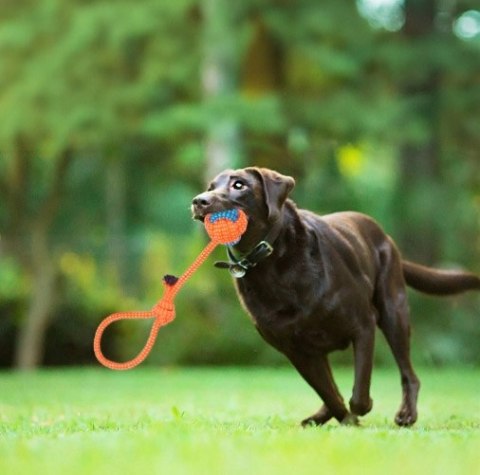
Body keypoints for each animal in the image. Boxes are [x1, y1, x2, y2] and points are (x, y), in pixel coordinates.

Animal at [191, 167, 480, 428]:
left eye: (239, 185)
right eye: (210, 186)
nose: (199, 201)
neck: (272, 266)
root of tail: (386, 237)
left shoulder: (363, 325)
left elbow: (358, 391)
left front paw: (360, 410)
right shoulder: (295, 350)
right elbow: (329, 393)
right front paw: (344, 419)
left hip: (394, 312)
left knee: (409, 374)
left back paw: (406, 414)